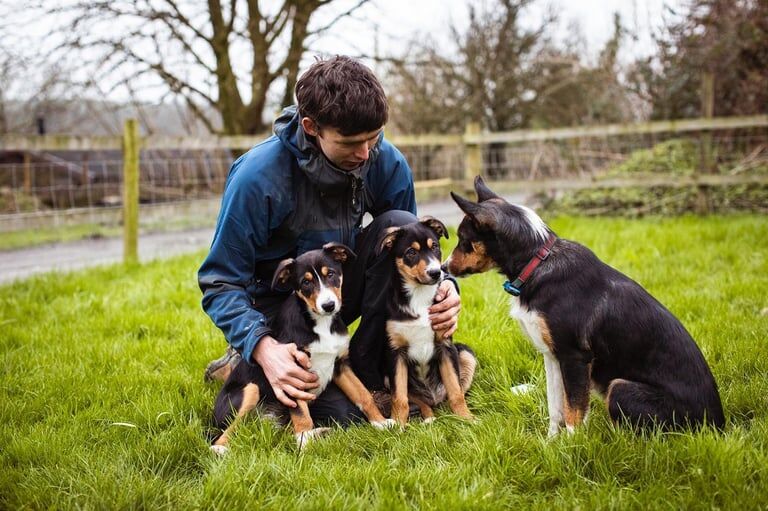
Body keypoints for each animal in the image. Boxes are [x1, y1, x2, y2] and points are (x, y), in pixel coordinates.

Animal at [210, 244, 392, 456]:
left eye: (331, 274)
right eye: (305, 282)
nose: (328, 306)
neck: (321, 323)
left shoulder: (340, 364)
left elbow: (363, 395)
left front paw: (380, 423)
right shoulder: (291, 372)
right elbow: (301, 413)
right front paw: (304, 442)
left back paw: (320, 432)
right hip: (249, 390)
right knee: (227, 432)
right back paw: (220, 449)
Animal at [380, 218, 476, 426]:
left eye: (435, 247)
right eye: (411, 252)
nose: (436, 272)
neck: (419, 294)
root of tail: (433, 397)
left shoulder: (445, 346)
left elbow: (456, 391)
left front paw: (467, 419)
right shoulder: (395, 353)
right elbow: (399, 398)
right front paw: (398, 424)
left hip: (466, 354)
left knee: (454, 392)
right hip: (386, 377)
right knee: (419, 401)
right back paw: (429, 417)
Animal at [444, 177, 728, 436]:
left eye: (462, 238)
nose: (444, 269)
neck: (536, 262)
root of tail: (717, 425)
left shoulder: (575, 357)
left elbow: (573, 413)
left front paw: (572, 449)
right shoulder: (552, 355)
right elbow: (556, 408)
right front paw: (550, 445)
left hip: (621, 388)